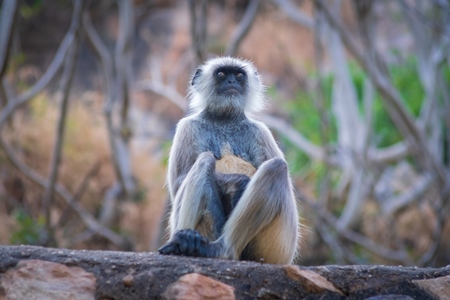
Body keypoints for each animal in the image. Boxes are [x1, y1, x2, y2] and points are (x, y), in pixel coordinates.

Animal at [158, 56, 298, 264]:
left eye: (239, 75)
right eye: (222, 74)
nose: (231, 82)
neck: (224, 120)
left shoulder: (260, 131)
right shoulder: (187, 126)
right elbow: (179, 182)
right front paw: (237, 182)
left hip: (279, 247)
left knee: (276, 167)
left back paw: (222, 250)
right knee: (205, 161)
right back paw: (187, 240)